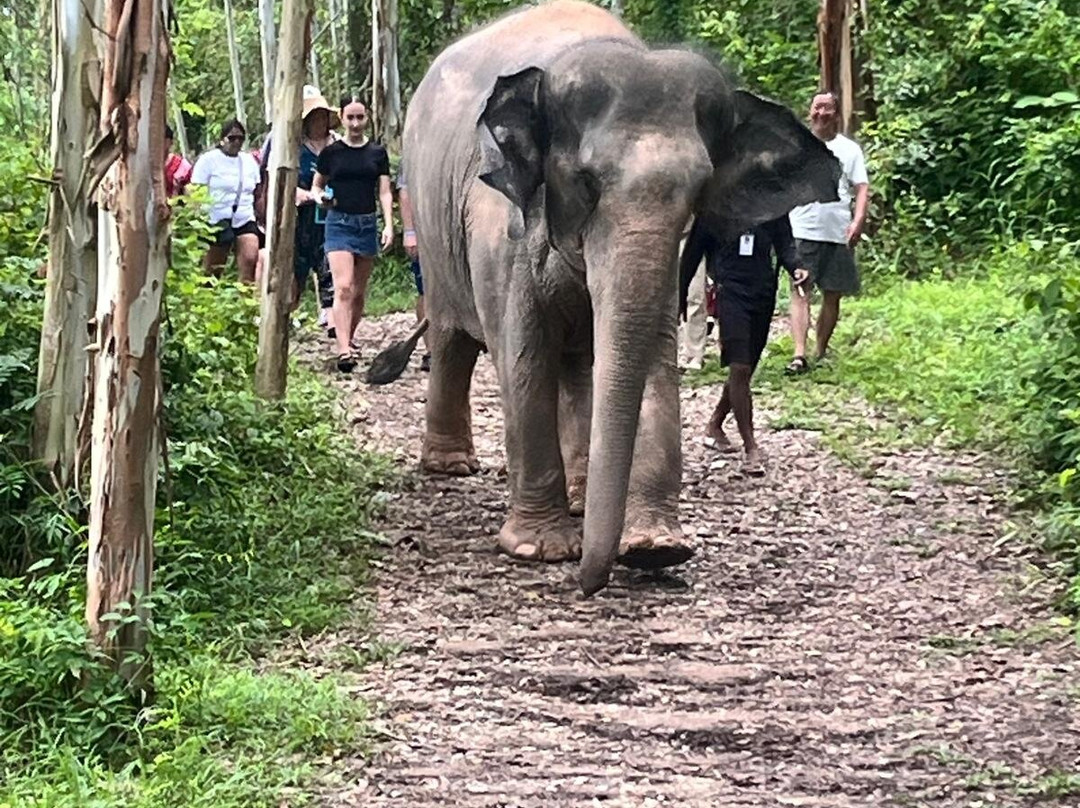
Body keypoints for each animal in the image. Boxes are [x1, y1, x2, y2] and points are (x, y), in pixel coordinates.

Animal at [402, 0, 840, 595]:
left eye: (698, 191)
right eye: (586, 181)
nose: (589, 582)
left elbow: (652, 349)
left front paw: (656, 549)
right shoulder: (500, 223)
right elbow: (523, 354)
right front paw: (541, 549)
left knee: (578, 364)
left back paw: (581, 496)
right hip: (432, 232)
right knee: (454, 339)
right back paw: (452, 467)